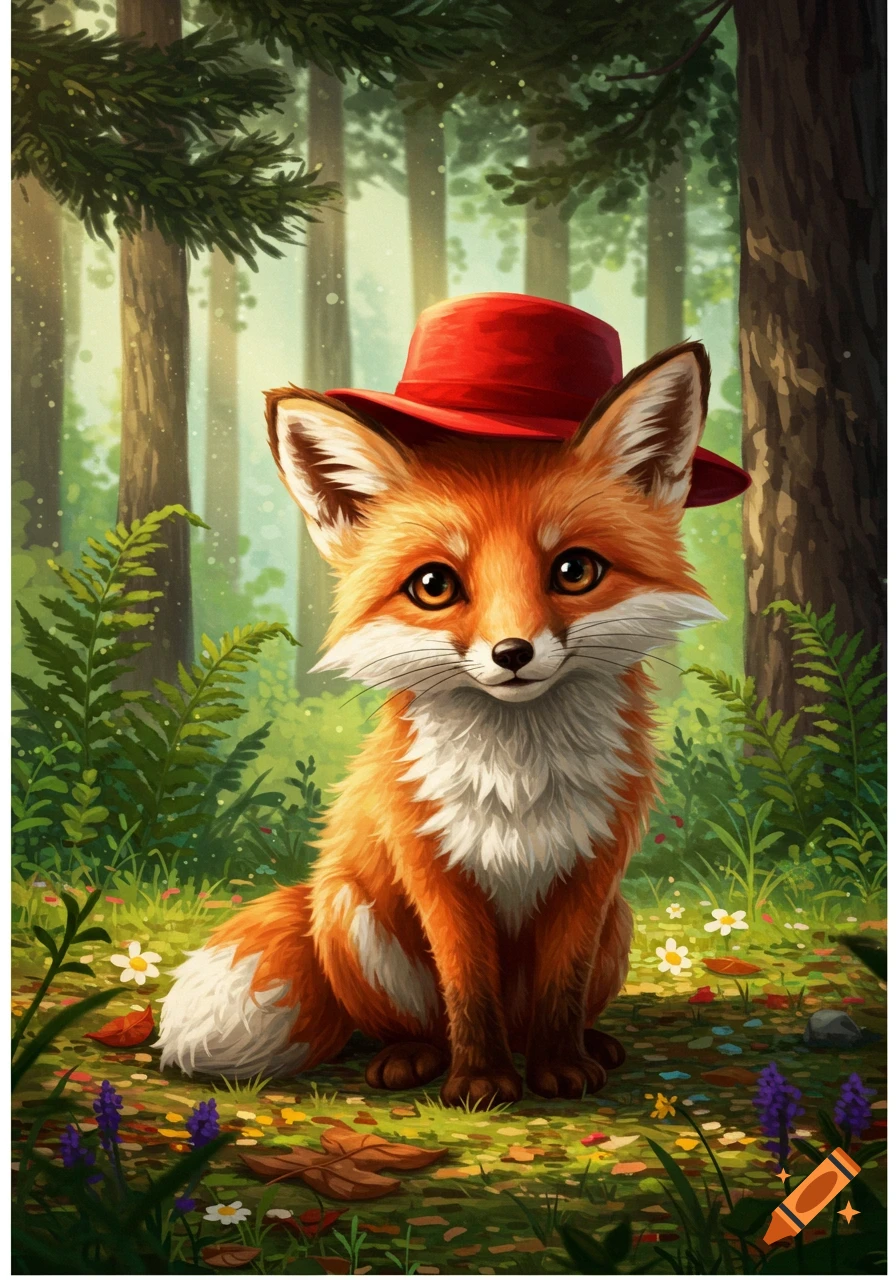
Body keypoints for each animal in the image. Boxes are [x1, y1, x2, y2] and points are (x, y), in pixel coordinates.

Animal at [156, 339, 723, 1105]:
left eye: (575, 570)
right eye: (434, 585)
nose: (512, 653)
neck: (519, 780)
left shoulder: (592, 871)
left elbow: (562, 989)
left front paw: (561, 1068)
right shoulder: (437, 870)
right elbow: (468, 989)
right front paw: (481, 1081)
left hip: (619, 921)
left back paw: (590, 1045)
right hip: (353, 916)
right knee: (416, 1023)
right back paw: (415, 1056)